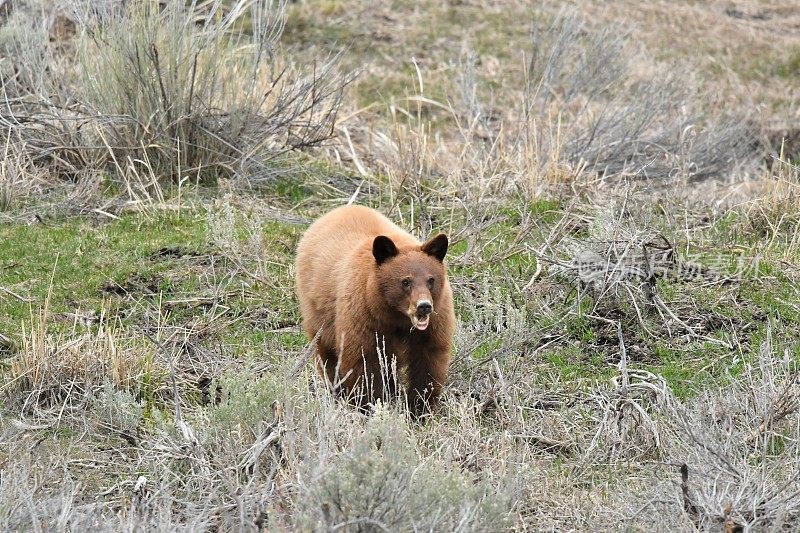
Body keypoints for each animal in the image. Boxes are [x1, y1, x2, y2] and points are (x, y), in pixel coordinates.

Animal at [296, 204, 456, 416]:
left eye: (431, 280)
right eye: (405, 281)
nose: (424, 306)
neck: (397, 318)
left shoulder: (434, 323)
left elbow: (429, 360)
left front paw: (419, 408)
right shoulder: (363, 315)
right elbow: (364, 362)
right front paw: (372, 405)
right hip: (318, 313)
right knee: (327, 355)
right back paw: (337, 392)